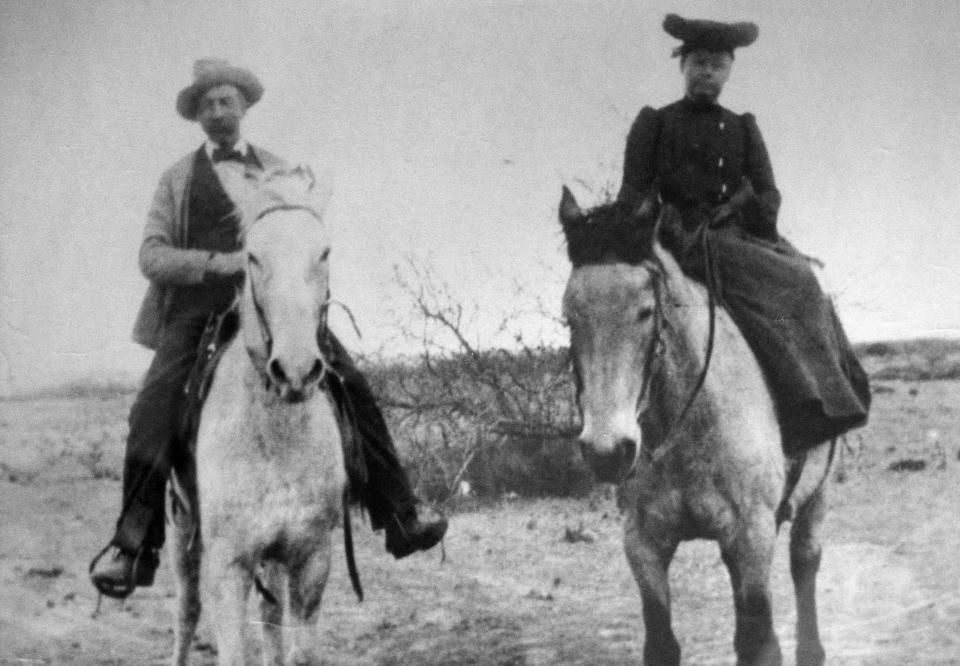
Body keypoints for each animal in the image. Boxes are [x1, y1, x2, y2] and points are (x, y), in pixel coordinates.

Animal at [171, 166, 346, 664]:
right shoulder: (228, 565)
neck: (275, 435)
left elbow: (295, 649)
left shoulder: (310, 559)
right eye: (252, 256)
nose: (297, 369)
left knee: (269, 618)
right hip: (183, 532)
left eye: (324, 252)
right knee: (186, 611)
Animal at [560, 187, 836, 664]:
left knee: (805, 561)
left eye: (645, 311)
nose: (607, 452)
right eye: (569, 317)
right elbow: (661, 643)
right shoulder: (643, 543)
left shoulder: (753, 534)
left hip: (818, 492)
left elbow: (759, 642)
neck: (685, 426)